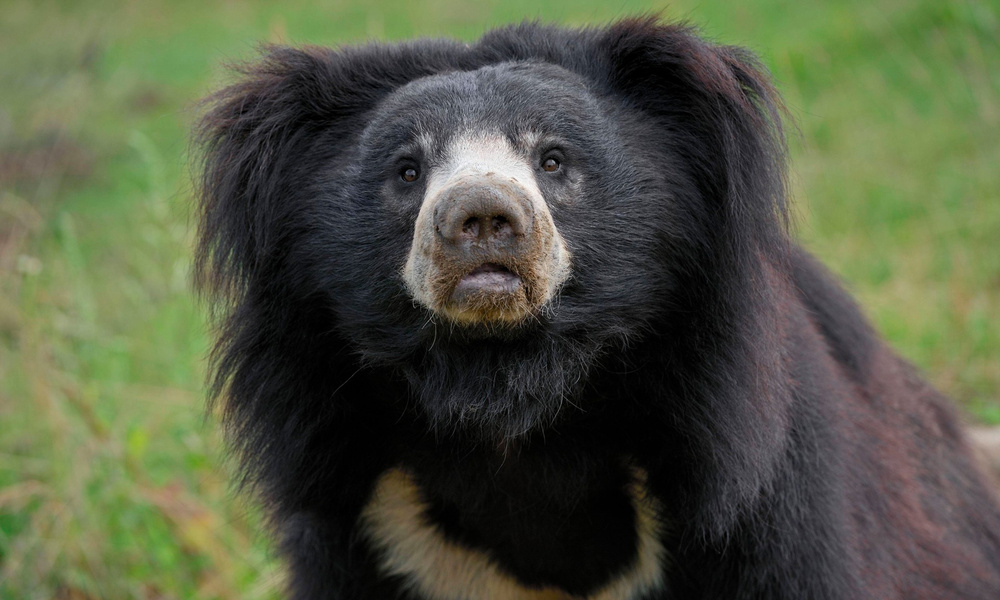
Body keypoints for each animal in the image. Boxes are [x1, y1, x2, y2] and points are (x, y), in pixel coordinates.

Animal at [195, 16, 1000, 600]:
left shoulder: (759, 494)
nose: (481, 217)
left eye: (553, 159)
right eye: (407, 170)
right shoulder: (359, 511)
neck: (515, 408)